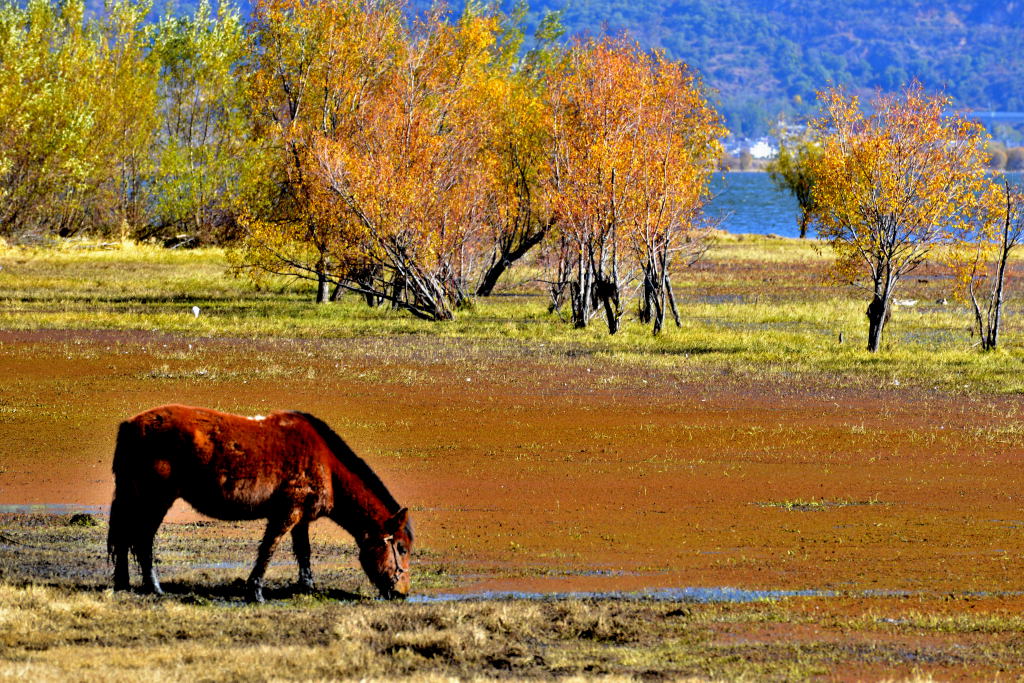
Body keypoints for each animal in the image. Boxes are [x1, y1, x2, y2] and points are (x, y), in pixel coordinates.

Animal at [110, 403, 413, 602]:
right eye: (401, 548)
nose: (401, 593)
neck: (326, 463)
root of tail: (131, 424)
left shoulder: (300, 518)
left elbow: (303, 552)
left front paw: (307, 587)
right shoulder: (286, 514)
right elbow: (268, 550)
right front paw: (255, 591)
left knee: (125, 539)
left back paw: (123, 583)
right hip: (155, 499)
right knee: (143, 539)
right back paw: (154, 587)